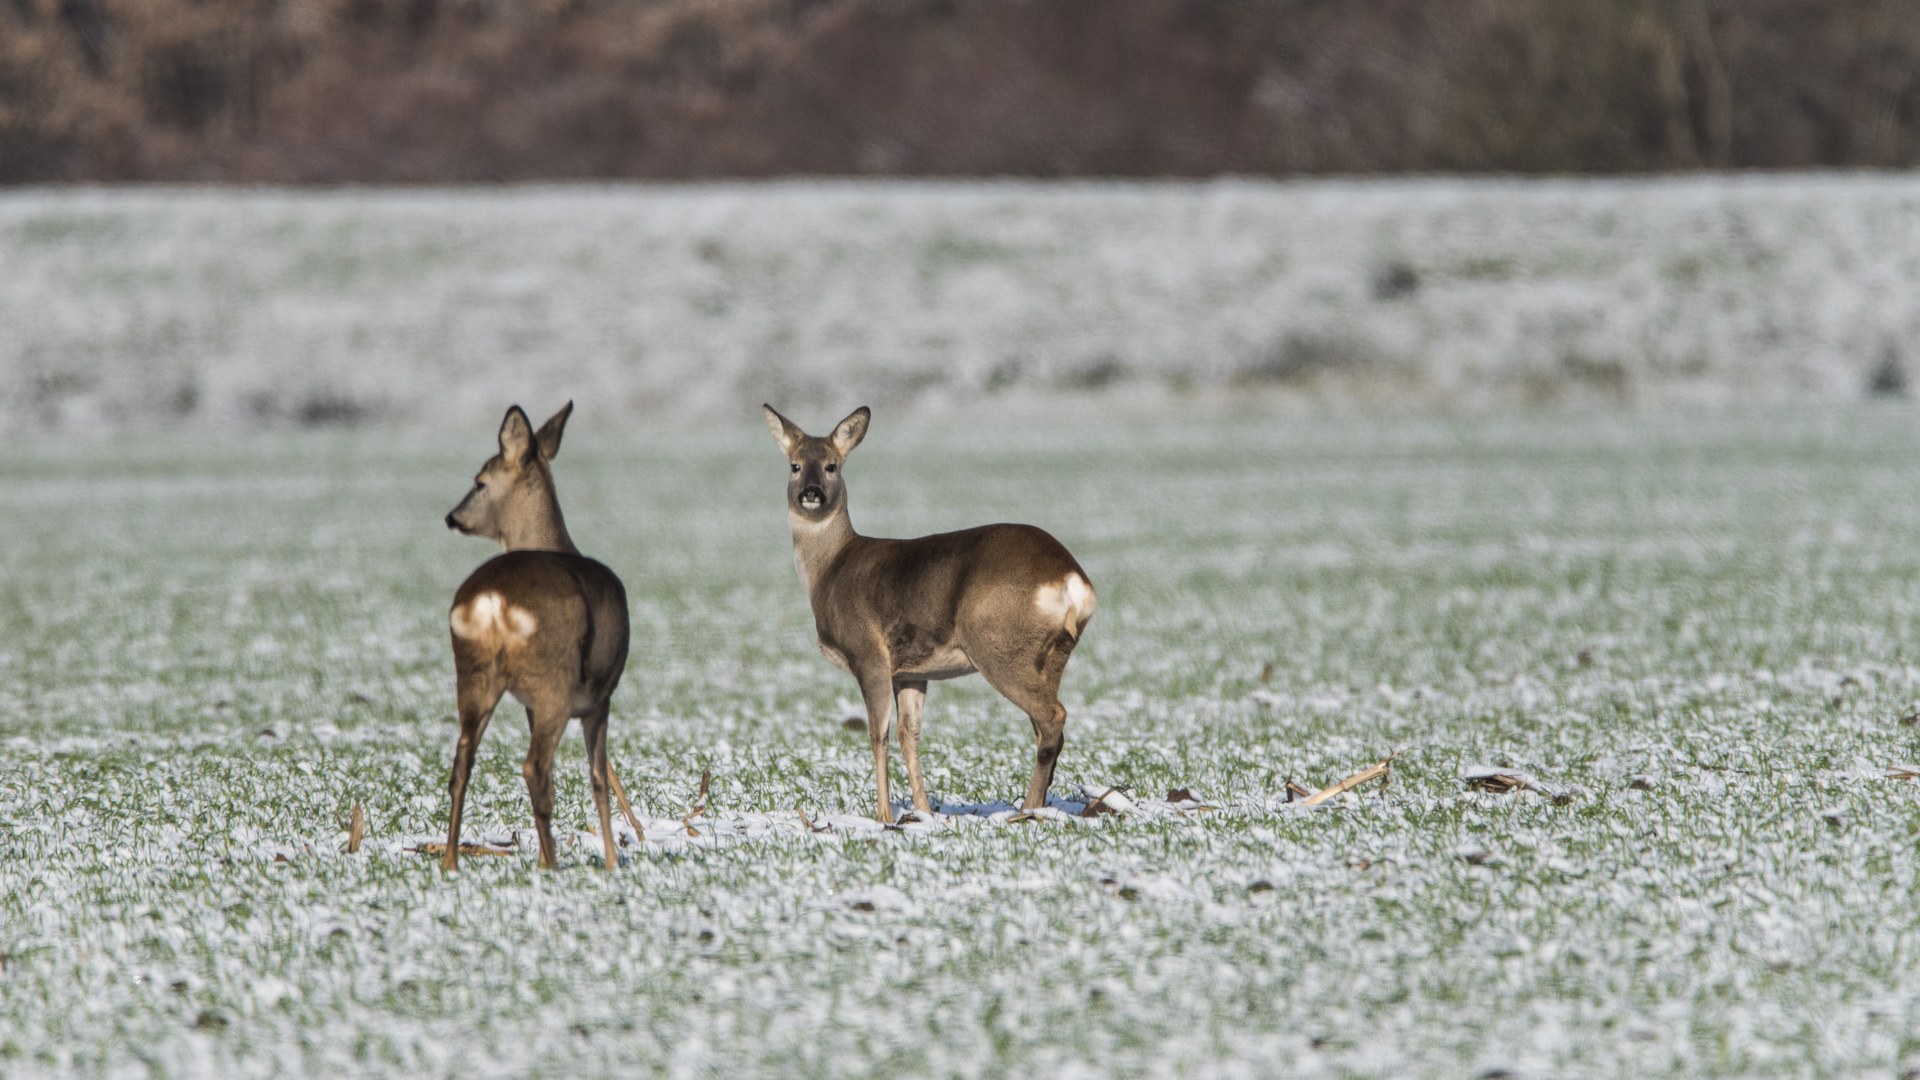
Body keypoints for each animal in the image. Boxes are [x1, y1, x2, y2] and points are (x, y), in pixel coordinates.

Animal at [441, 401, 645, 864]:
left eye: (479, 482)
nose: (452, 517)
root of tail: (493, 599)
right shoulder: (600, 695)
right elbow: (599, 776)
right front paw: (615, 858)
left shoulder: (533, 703)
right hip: (555, 677)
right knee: (536, 767)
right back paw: (551, 866)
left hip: (476, 674)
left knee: (463, 762)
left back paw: (451, 861)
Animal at [760, 407, 1098, 818]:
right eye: (794, 465)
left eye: (831, 465)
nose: (812, 493)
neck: (830, 571)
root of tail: (1071, 578)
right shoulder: (911, 671)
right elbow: (909, 734)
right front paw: (922, 812)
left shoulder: (868, 653)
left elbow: (878, 734)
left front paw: (885, 817)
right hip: (1051, 656)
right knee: (1048, 726)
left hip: (999, 647)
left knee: (1052, 718)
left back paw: (1026, 811)